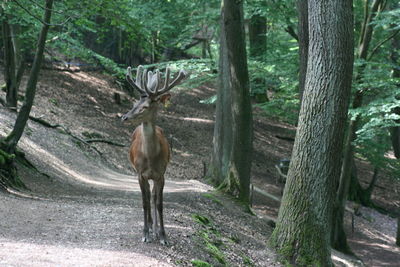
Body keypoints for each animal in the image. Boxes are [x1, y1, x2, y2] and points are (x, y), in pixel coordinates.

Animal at [120, 65, 188, 245]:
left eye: (145, 107)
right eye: (135, 102)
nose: (124, 117)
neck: (150, 158)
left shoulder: (161, 174)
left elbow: (159, 203)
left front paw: (163, 235)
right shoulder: (140, 174)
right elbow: (144, 203)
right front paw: (145, 234)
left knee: (153, 195)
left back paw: (155, 228)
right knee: (148, 196)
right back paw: (150, 227)